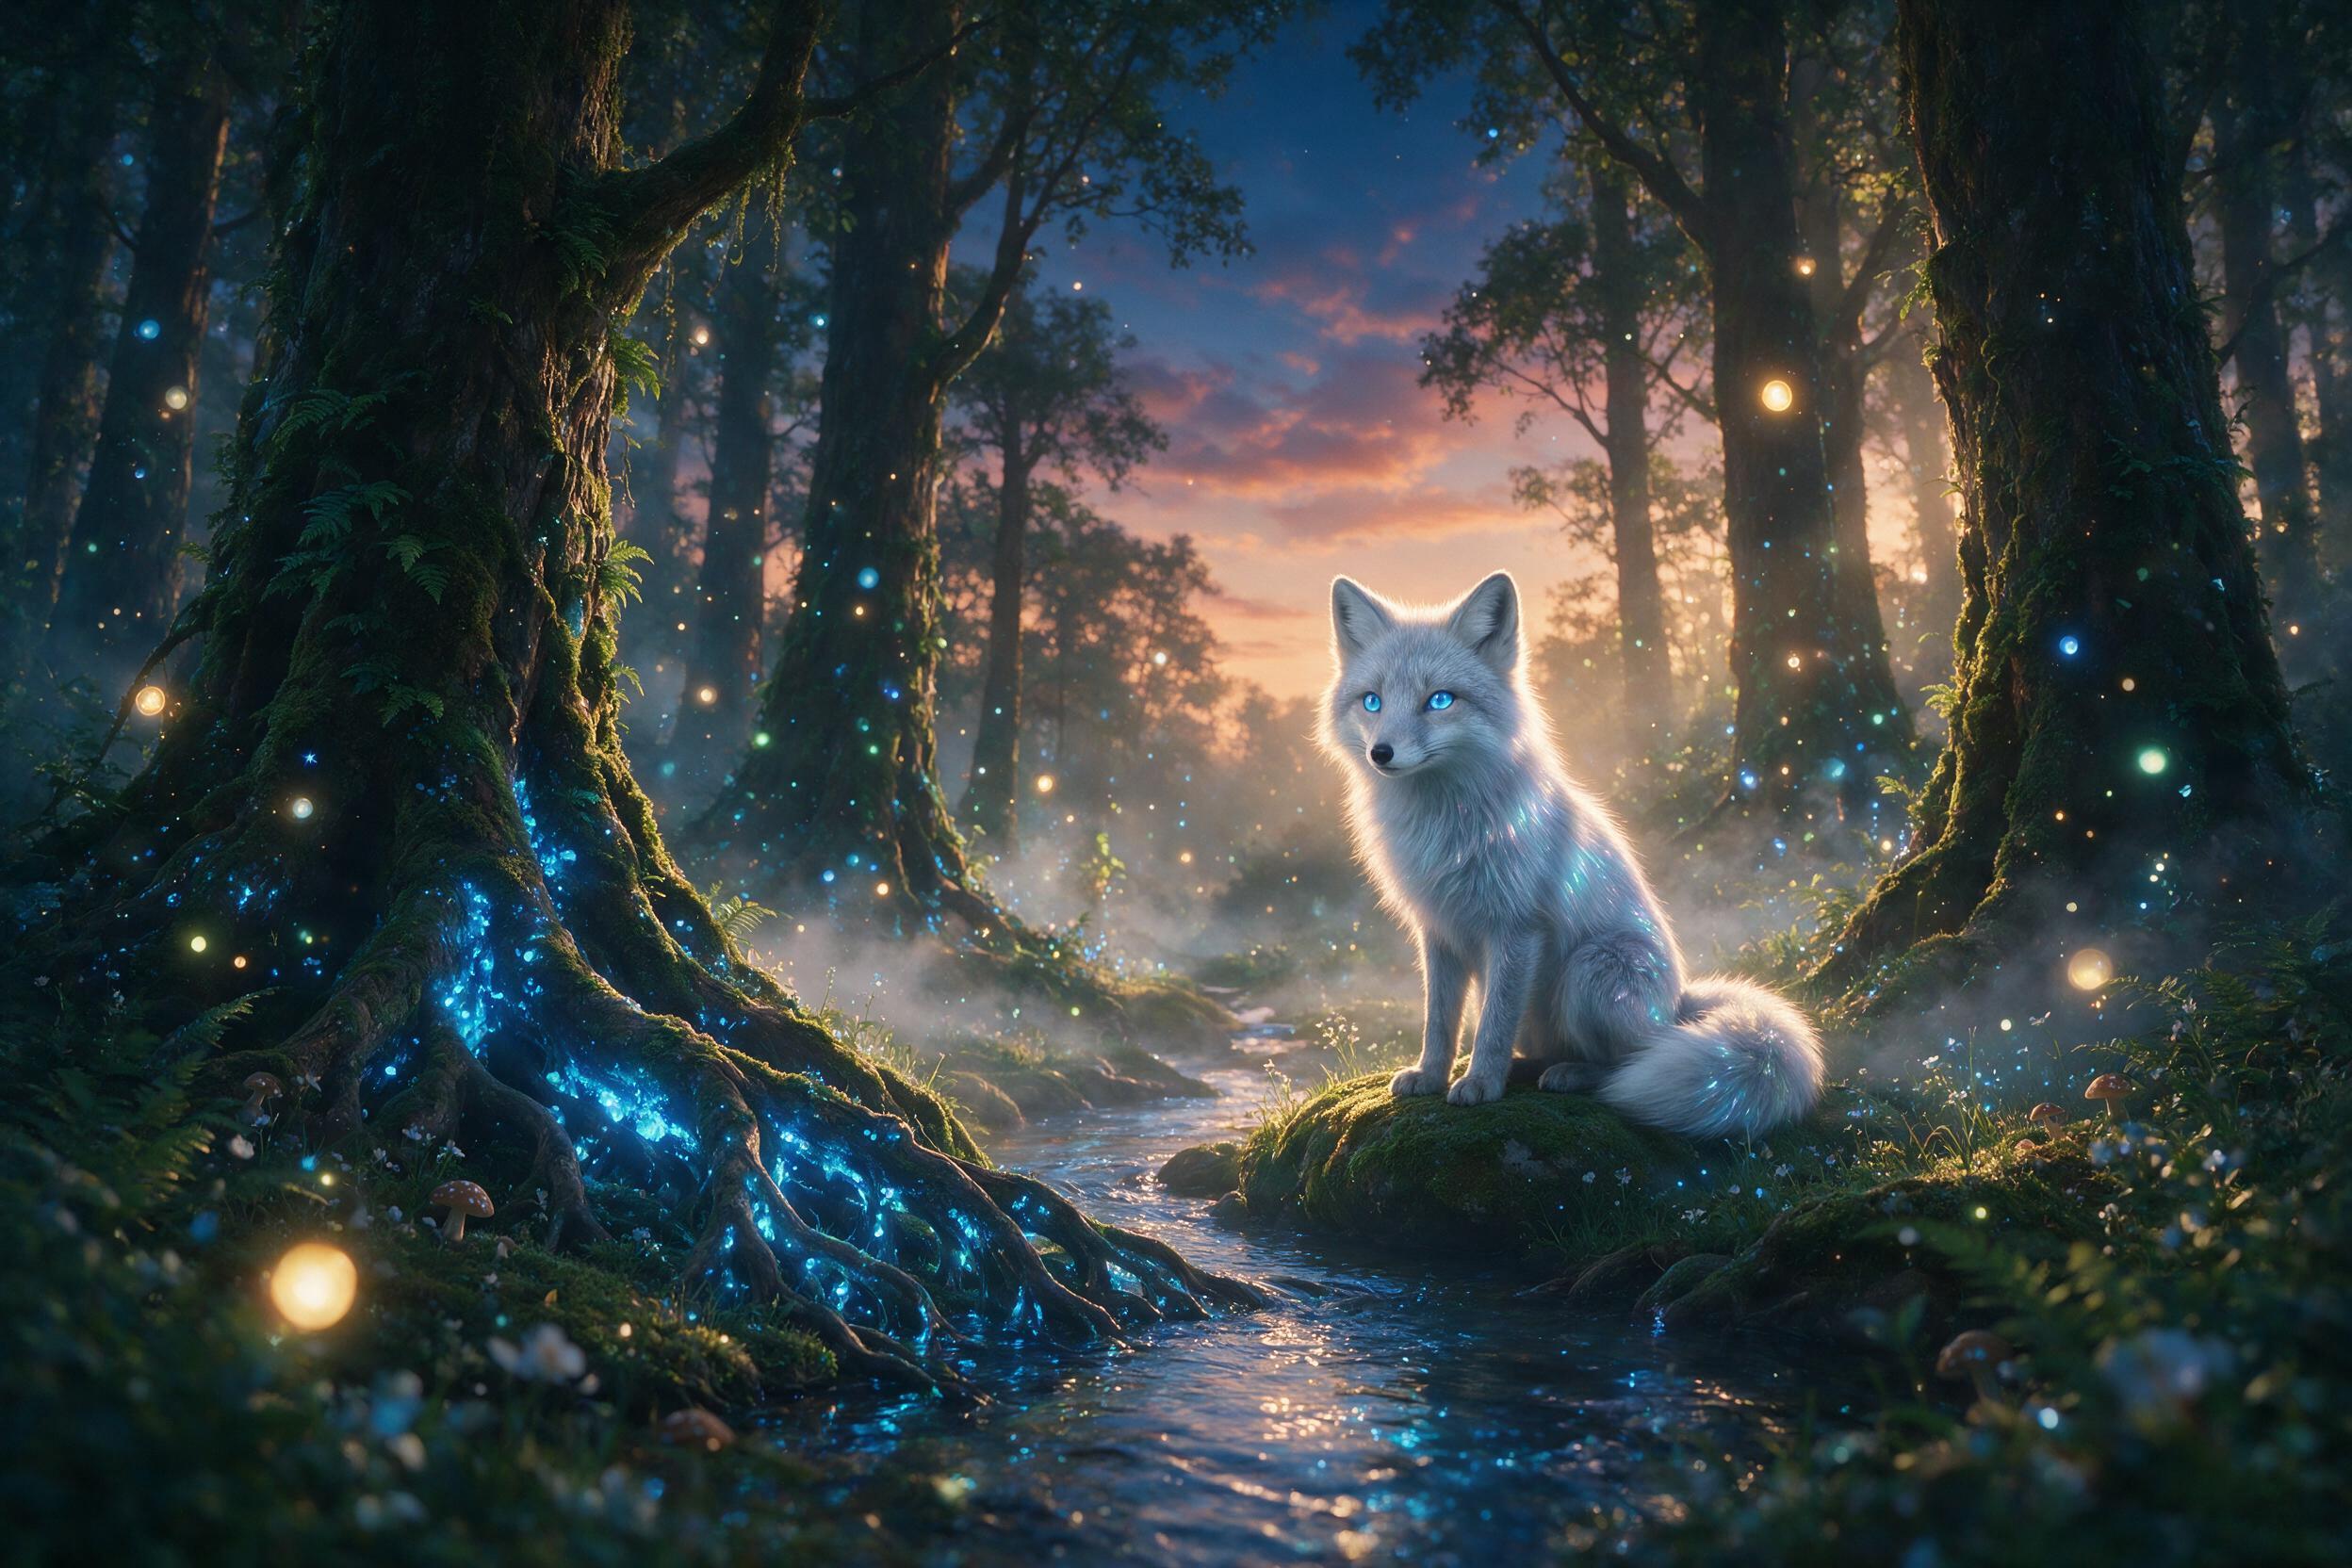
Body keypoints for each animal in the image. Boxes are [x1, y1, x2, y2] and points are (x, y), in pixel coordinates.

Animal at [1321, 571, 1824, 1140]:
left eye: (1440, 700)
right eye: (1372, 702)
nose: (1380, 753)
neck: (1443, 826)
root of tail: (1677, 1003)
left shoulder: (1517, 927)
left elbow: (1492, 1023)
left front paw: (1481, 1084)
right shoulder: (1439, 931)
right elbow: (1440, 1020)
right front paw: (1432, 1075)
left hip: (1591, 971)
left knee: (1629, 1060)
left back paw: (1579, 1076)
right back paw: (1529, 1068)